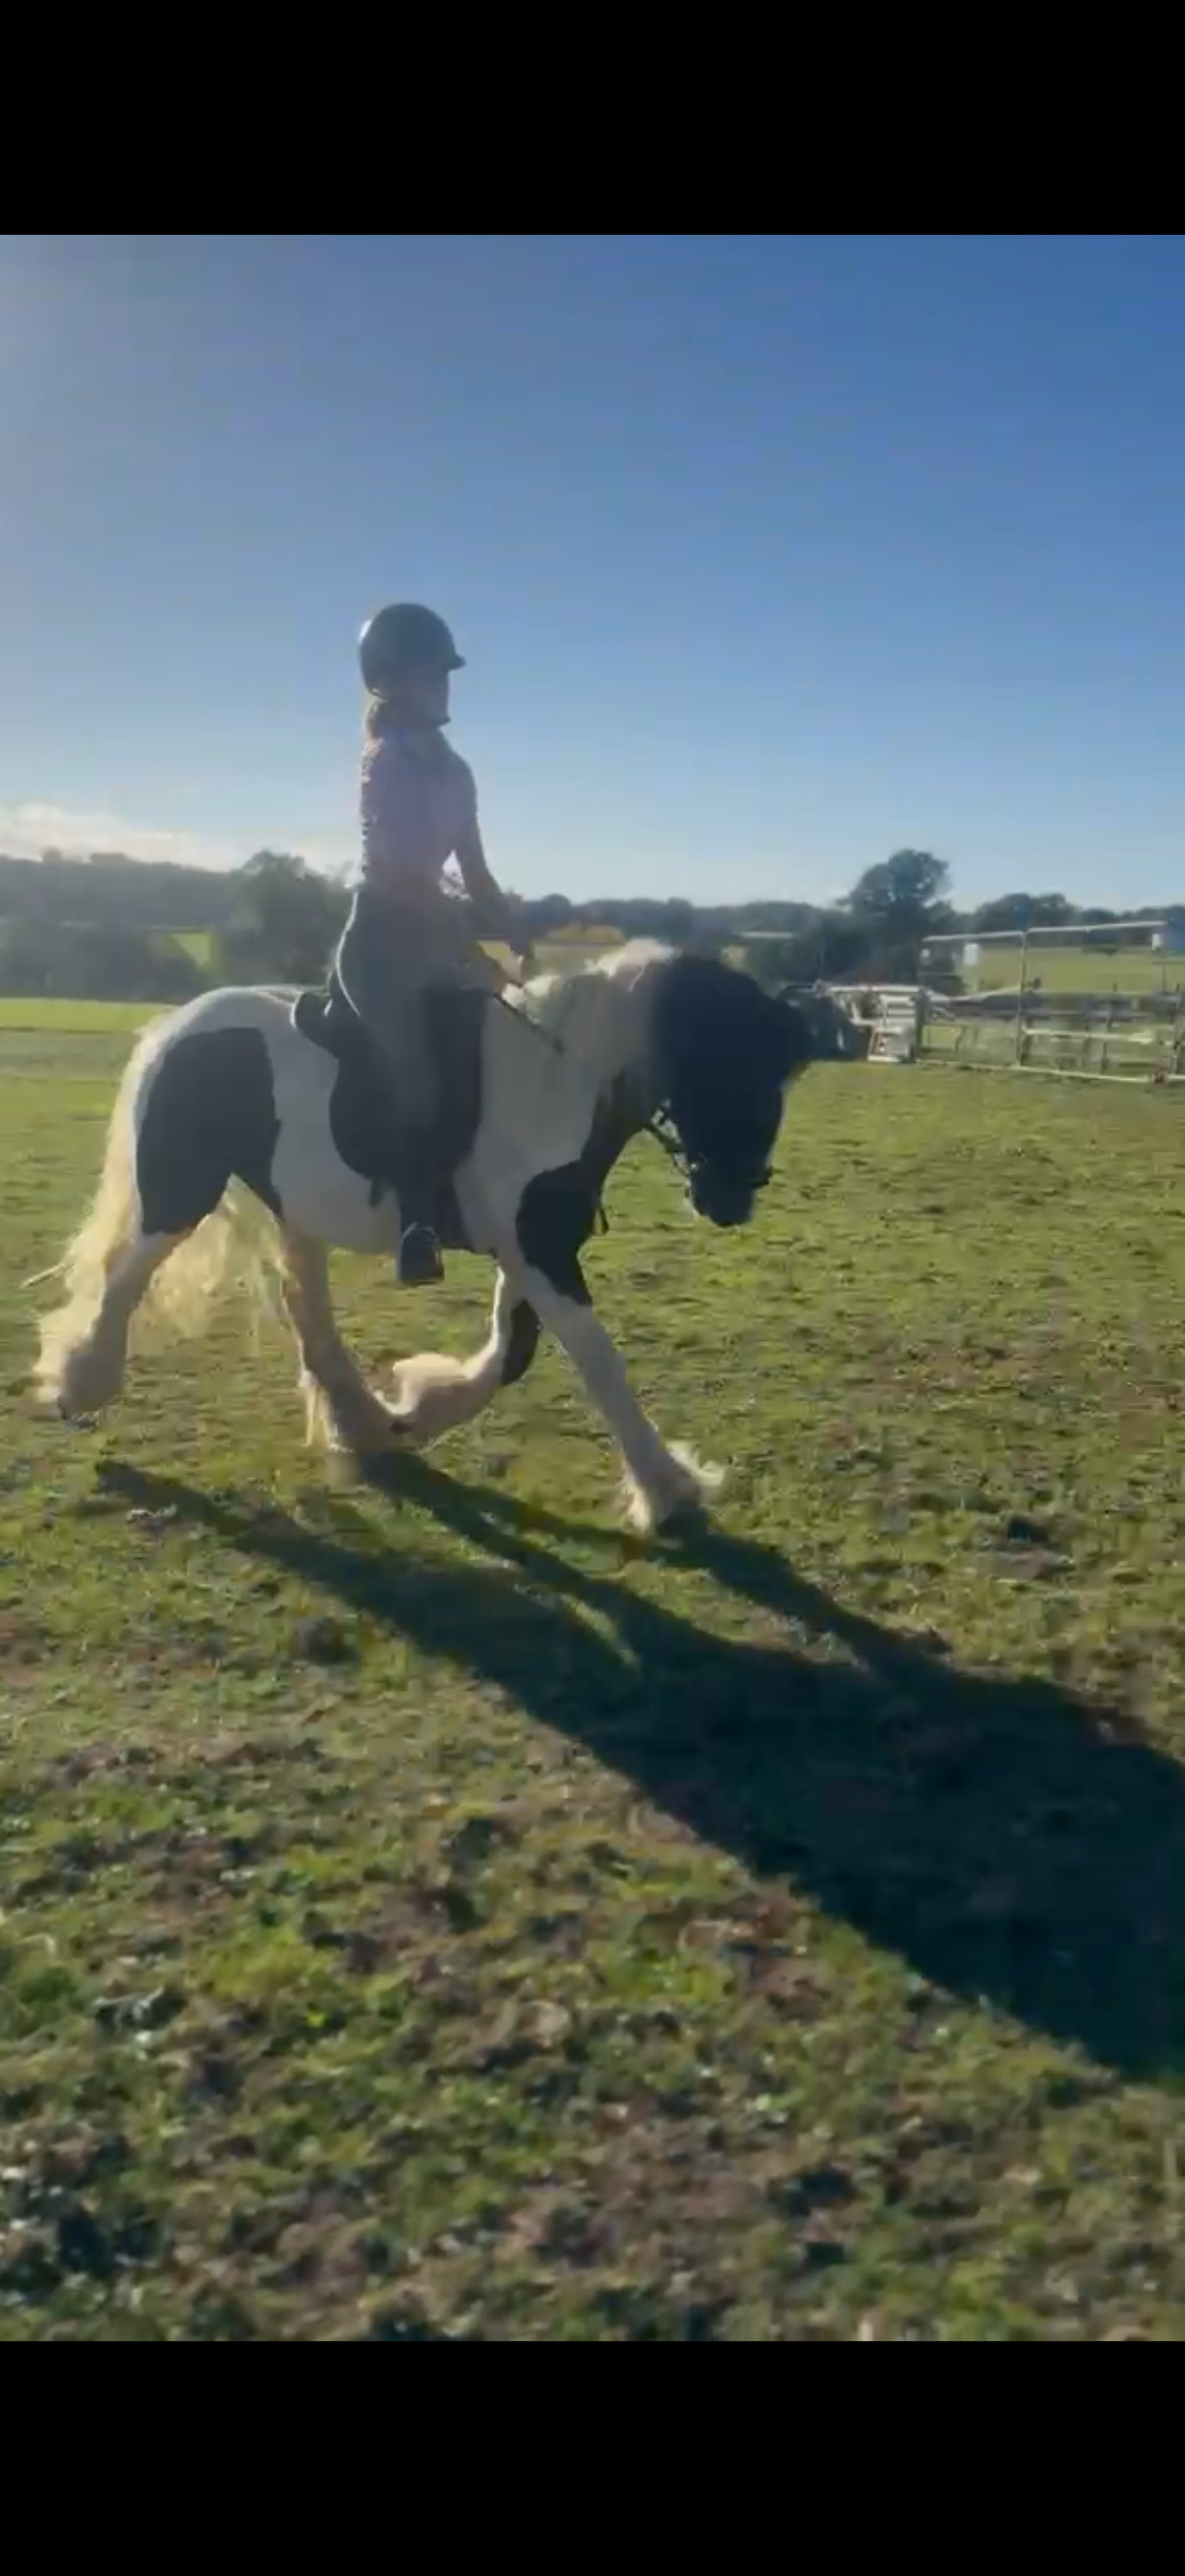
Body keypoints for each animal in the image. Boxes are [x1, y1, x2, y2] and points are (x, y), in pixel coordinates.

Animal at [33, 942, 853, 1532]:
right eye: (737, 1070)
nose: (731, 1200)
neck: (554, 1086)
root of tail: (180, 1023)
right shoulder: (540, 1252)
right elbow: (598, 1362)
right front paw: (667, 1487)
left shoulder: (531, 1250)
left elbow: (514, 1354)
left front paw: (421, 1407)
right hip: (179, 1192)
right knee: (123, 1280)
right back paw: (78, 1385)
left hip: (292, 1208)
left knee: (307, 1309)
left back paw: (361, 1422)